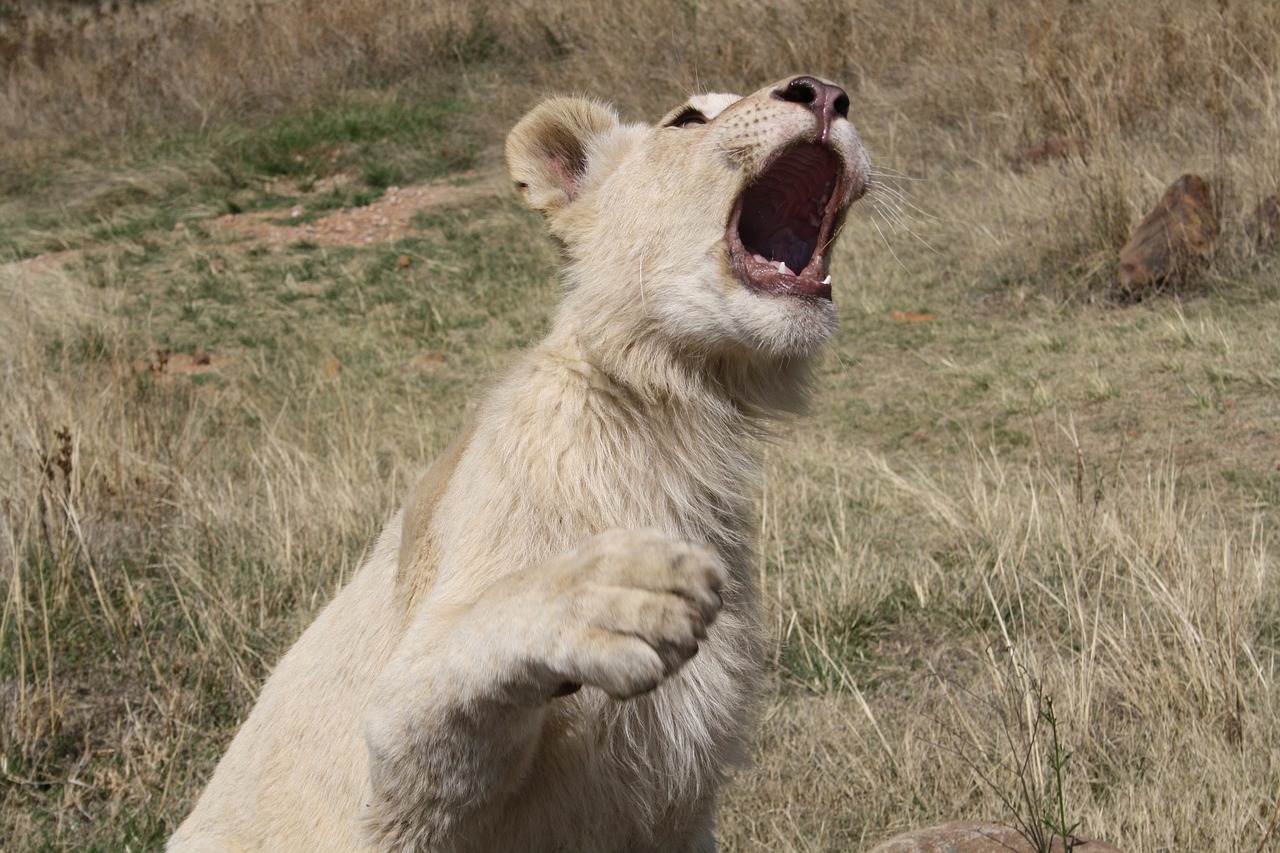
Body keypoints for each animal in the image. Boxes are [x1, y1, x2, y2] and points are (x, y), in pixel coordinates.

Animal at [170, 74, 870, 850]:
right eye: (686, 119)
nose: (825, 93)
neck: (675, 418)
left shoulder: (679, 812)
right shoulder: (393, 794)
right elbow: (445, 677)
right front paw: (615, 594)